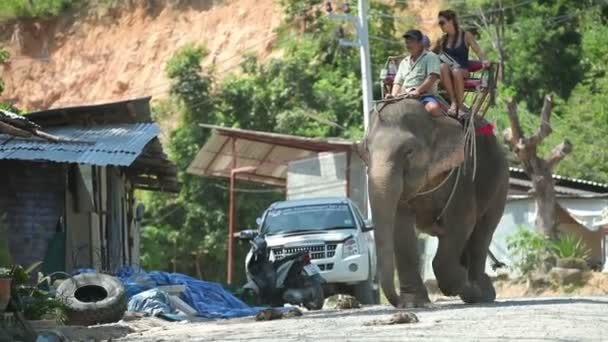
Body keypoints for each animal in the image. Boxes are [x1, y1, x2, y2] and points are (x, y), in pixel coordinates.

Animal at [360, 99, 508, 308]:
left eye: (409, 151)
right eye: (366, 151)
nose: (396, 303)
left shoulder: (462, 177)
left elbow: (461, 222)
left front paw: (463, 287)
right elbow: (400, 228)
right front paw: (413, 304)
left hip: (500, 183)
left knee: (482, 233)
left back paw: (482, 293)